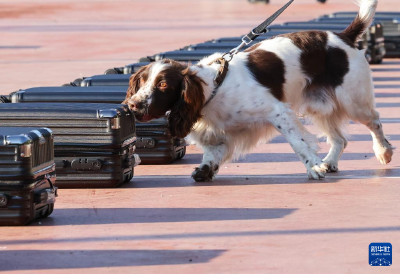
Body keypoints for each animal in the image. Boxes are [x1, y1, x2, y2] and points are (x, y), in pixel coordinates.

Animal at [124, 0, 394, 182]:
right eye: (141, 81)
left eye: (163, 85)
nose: (132, 105)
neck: (213, 88)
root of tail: (344, 36)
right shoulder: (224, 131)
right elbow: (214, 151)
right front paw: (205, 169)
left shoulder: (277, 112)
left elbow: (298, 143)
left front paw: (313, 167)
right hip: (319, 105)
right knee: (340, 139)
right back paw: (330, 162)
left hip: (353, 101)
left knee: (375, 122)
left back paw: (383, 151)